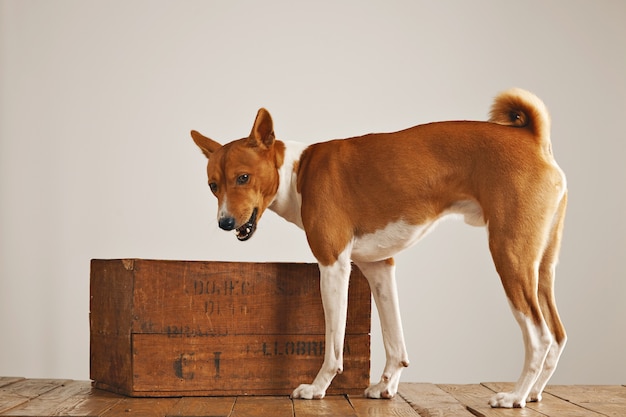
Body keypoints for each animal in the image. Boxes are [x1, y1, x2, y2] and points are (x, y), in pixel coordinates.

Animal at [190, 88, 564, 406]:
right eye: (212, 186)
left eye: (243, 178)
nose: (225, 222)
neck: (299, 173)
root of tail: (532, 138)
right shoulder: (380, 266)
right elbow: (394, 341)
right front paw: (386, 387)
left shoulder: (333, 265)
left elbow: (334, 344)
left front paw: (317, 387)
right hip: (541, 268)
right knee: (558, 335)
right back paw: (535, 394)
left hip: (509, 257)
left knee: (540, 337)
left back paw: (515, 396)